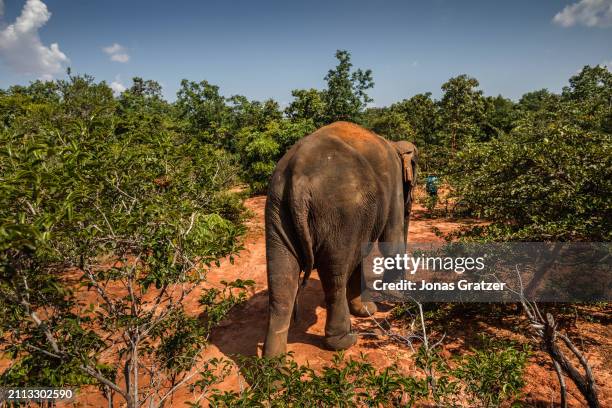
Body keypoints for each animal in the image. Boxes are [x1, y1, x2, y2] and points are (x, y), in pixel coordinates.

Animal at [262, 119, 416, 356]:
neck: (393, 143)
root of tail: (298, 176)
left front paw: (366, 310)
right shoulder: (393, 182)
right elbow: (391, 241)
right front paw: (391, 299)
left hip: (277, 209)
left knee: (282, 281)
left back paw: (273, 362)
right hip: (340, 213)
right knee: (335, 276)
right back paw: (344, 341)